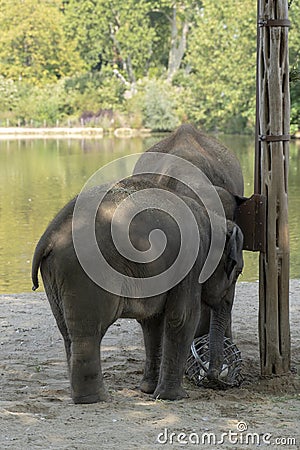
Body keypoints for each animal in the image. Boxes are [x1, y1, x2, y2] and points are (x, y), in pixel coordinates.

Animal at [32, 174, 244, 402]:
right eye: (237, 271)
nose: (215, 377)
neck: (213, 218)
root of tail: (49, 237)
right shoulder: (191, 263)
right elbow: (183, 317)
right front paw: (174, 397)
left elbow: (152, 322)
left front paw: (149, 390)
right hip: (85, 273)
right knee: (88, 332)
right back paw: (95, 399)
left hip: (55, 277)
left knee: (67, 331)